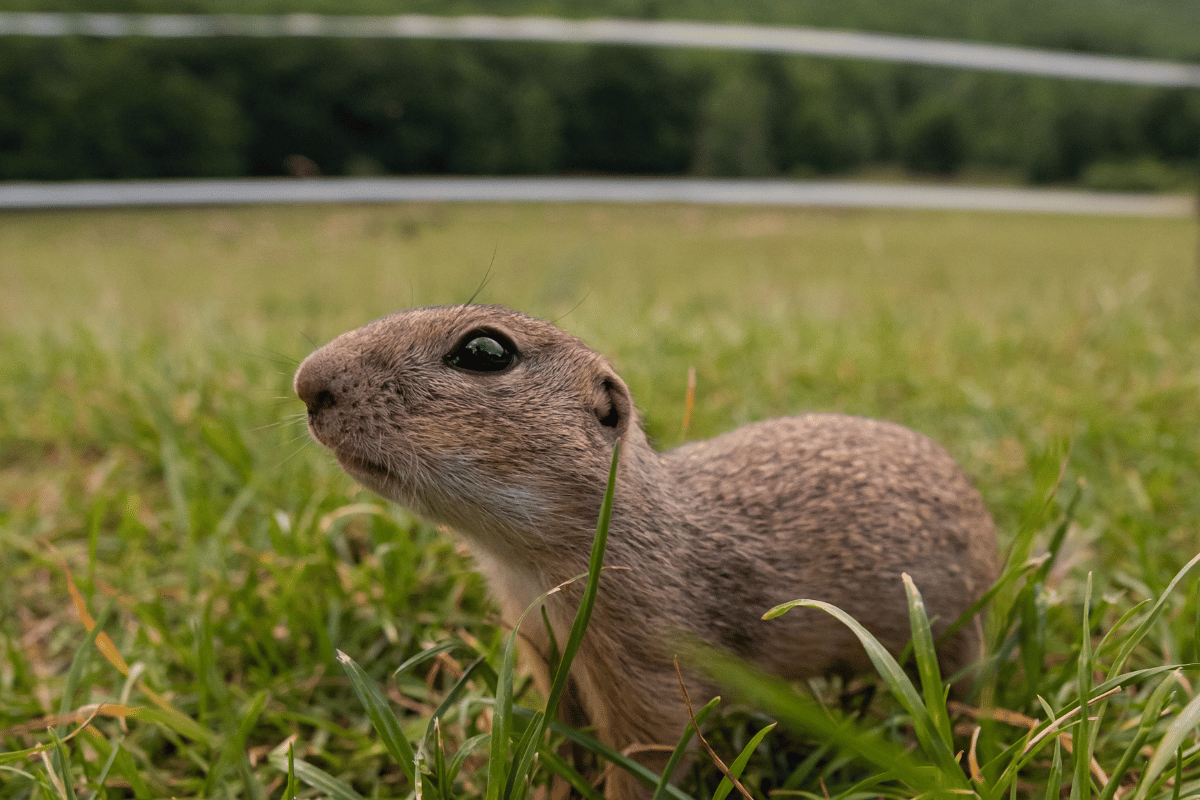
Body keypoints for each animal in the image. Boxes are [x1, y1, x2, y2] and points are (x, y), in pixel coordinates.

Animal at [295, 303, 998, 796]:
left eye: (485, 351)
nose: (307, 381)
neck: (528, 565)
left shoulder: (649, 663)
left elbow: (645, 756)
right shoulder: (546, 655)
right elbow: (560, 747)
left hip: (953, 636)